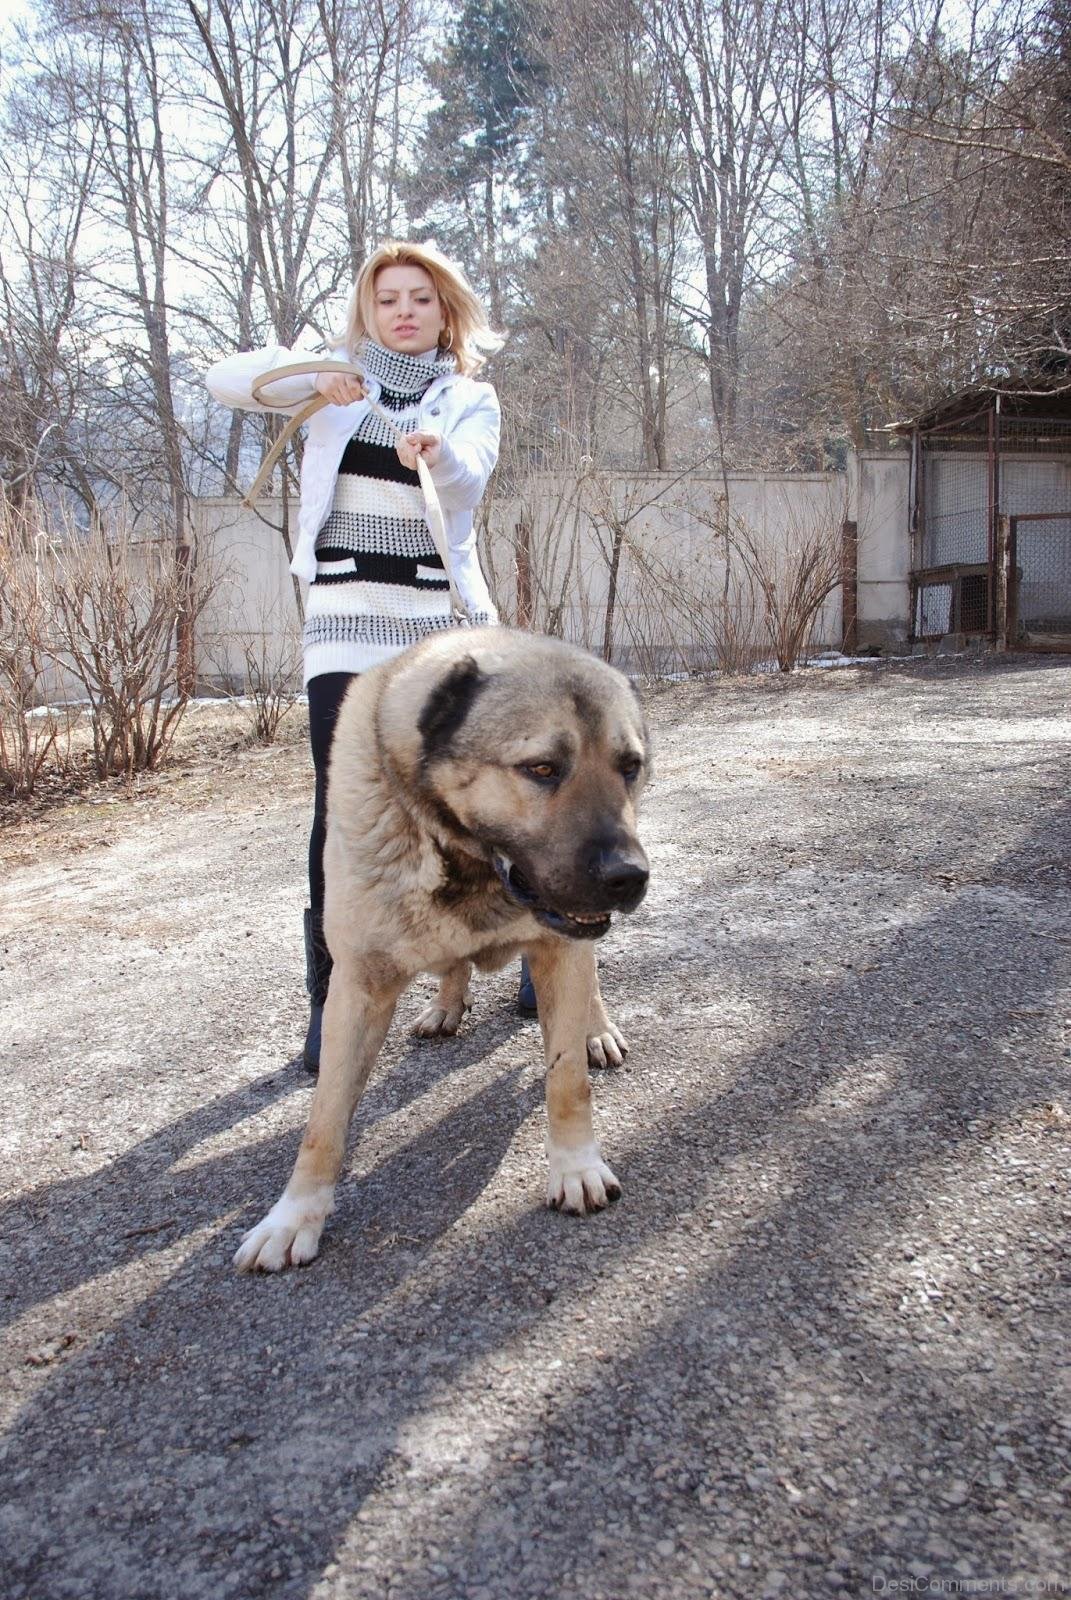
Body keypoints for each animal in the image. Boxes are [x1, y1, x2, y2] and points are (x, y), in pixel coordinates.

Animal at [235, 630, 646, 1267]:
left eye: (629, 767)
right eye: (542, 768)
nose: (630, 877)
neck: (470, 862)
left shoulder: (560, 950)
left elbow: (566, 1080)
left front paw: (575, 1166)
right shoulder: (356, 990)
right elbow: (323, 1122)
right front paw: (294, 1215)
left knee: (587, 988)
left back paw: (596, 1029)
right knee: (455, 968)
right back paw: (447, 1004)